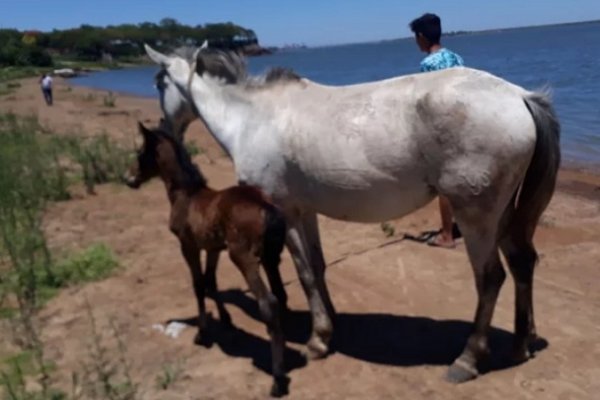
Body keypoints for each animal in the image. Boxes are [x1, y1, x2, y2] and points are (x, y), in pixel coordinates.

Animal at [124, 122, 288, 396]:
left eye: (140, 153)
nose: (128, 179)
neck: (187, 194)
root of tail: (267, 208)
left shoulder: (188, 246)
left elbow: (198, 284)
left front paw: (202, 334)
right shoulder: (213, 248)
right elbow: (211, 282)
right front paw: (226, 320)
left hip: (243, 257)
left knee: (269, 302)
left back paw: (277, 379)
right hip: (270, 258)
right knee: (281, 296)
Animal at [143, 42, 560, 382]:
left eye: (159, 82)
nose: (166, 129)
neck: (252, 119)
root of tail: (520, 96)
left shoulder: (286, 209)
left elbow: (304, 272)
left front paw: (317, 340)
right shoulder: (306, 211)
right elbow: (318, 266)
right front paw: (330, 325)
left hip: (476, 217)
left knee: (491, 278)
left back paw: (468, 360)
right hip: (505, 217)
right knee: (523, 264)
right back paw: (521, 344)